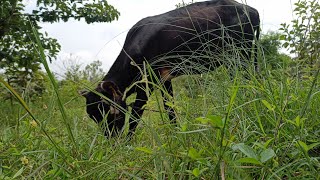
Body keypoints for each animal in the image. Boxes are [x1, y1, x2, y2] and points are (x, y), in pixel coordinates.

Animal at [82, 0, 260, 137]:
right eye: (93, 117)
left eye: (111, 112)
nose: (111, 138)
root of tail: (252, 10)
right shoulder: (164, 79)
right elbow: (170, 110)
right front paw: (176, 135)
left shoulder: (147, 82)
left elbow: (135, 115)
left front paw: (127, 143)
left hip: (238, 55)